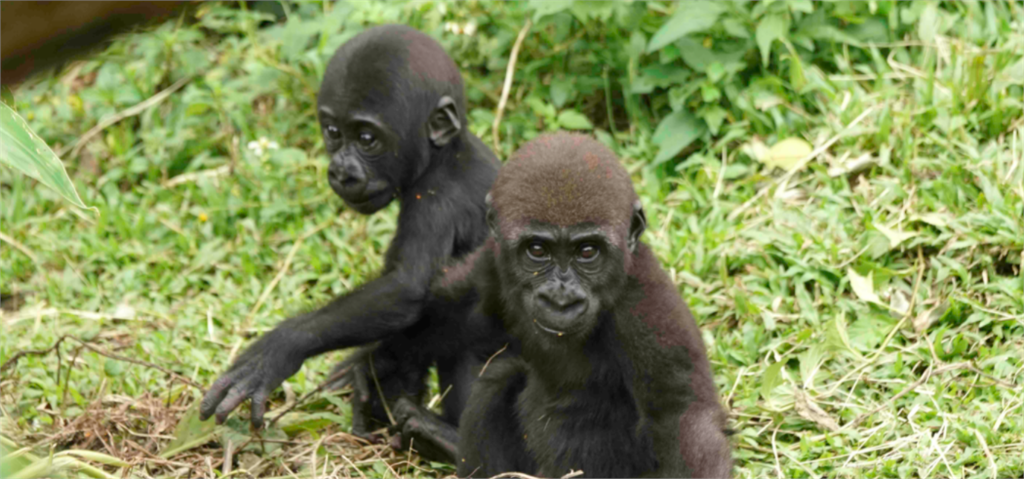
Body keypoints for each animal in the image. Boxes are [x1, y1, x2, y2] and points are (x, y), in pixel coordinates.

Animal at [198, 24, 499, 431]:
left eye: (367, 139)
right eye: (333, 132)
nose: (341, 172)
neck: (445, 155)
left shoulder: (436, 201)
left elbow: (408, 288)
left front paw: (282, 347)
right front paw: (363, 371)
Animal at [393, 134, 737, 479]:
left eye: (587, 251)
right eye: (536, 250)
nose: (561, 298)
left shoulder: (645, 304)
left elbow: (680, 416)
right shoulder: (492, 258)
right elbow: (447, 309)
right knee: (499, 379)